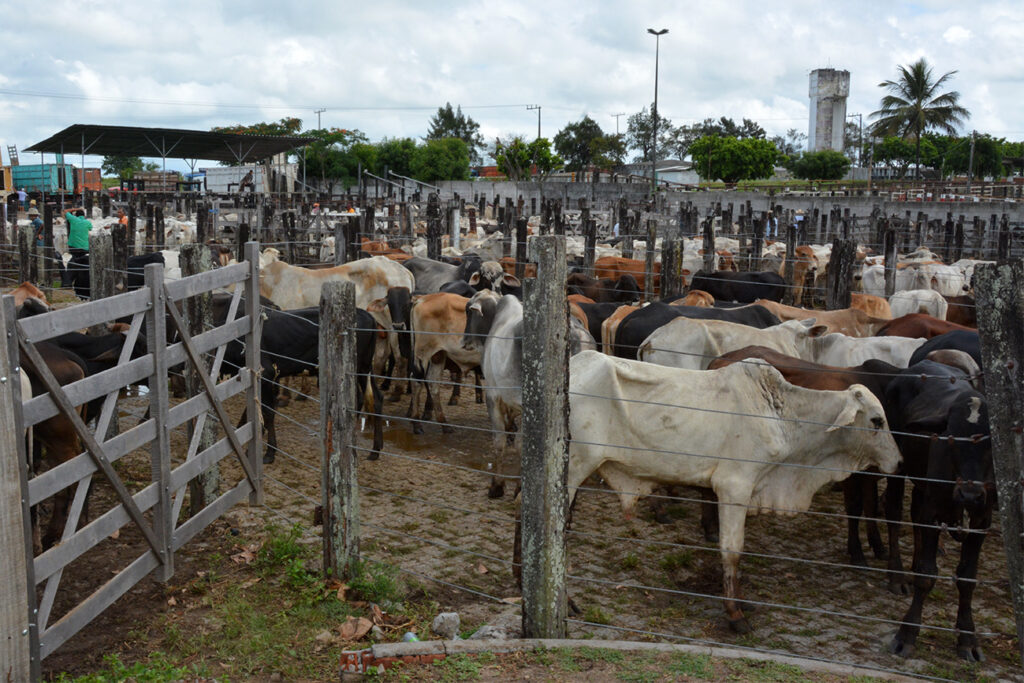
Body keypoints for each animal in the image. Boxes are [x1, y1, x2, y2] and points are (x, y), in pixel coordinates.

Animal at [573, 356, 901, 634]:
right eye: (876, 420)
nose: (898, 462)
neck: (781, 416)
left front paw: (743, 602)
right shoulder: (734, 486)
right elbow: (732, 551)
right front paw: (735, 615)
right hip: (574, 468)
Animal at [884, 360, 987, 659]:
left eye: (989, 441)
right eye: (952, 437)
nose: (970, 494)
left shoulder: (982, 521)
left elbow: (968, 578)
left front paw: (968, 638)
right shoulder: (934, 516)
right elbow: (927, 576)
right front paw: (907, 634)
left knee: (914, 513)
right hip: (897, 465)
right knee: (893, 512)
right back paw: (897, 575)